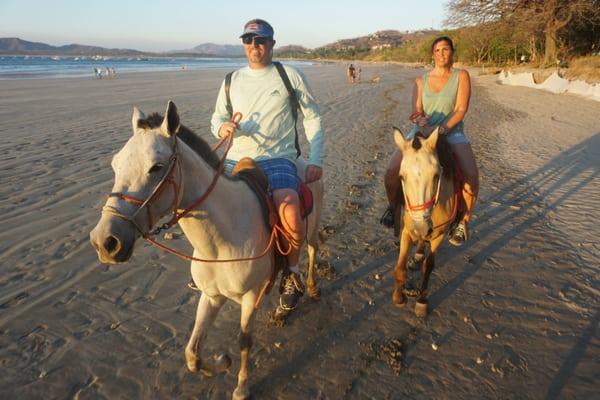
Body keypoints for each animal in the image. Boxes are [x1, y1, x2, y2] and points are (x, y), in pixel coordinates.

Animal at [89, 101, 324, 400]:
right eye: (115, 165)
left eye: (156, 167)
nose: (105, 241)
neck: (221, 243)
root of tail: (306, 163)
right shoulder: (211, 296)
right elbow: (193, 353)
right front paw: (221, 363)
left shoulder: (251, 296)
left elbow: (244, 340)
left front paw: (241, 386)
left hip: (311, 230)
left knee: (312, 253)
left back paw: (308, 289)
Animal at [390, 126, 460, 318]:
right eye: (401, 176)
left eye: (436, 176)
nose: (420, 227)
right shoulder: (407, 230)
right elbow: (400, 267)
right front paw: (398, 297)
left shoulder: (438, 235)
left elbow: (428, 266)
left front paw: (421, 302)